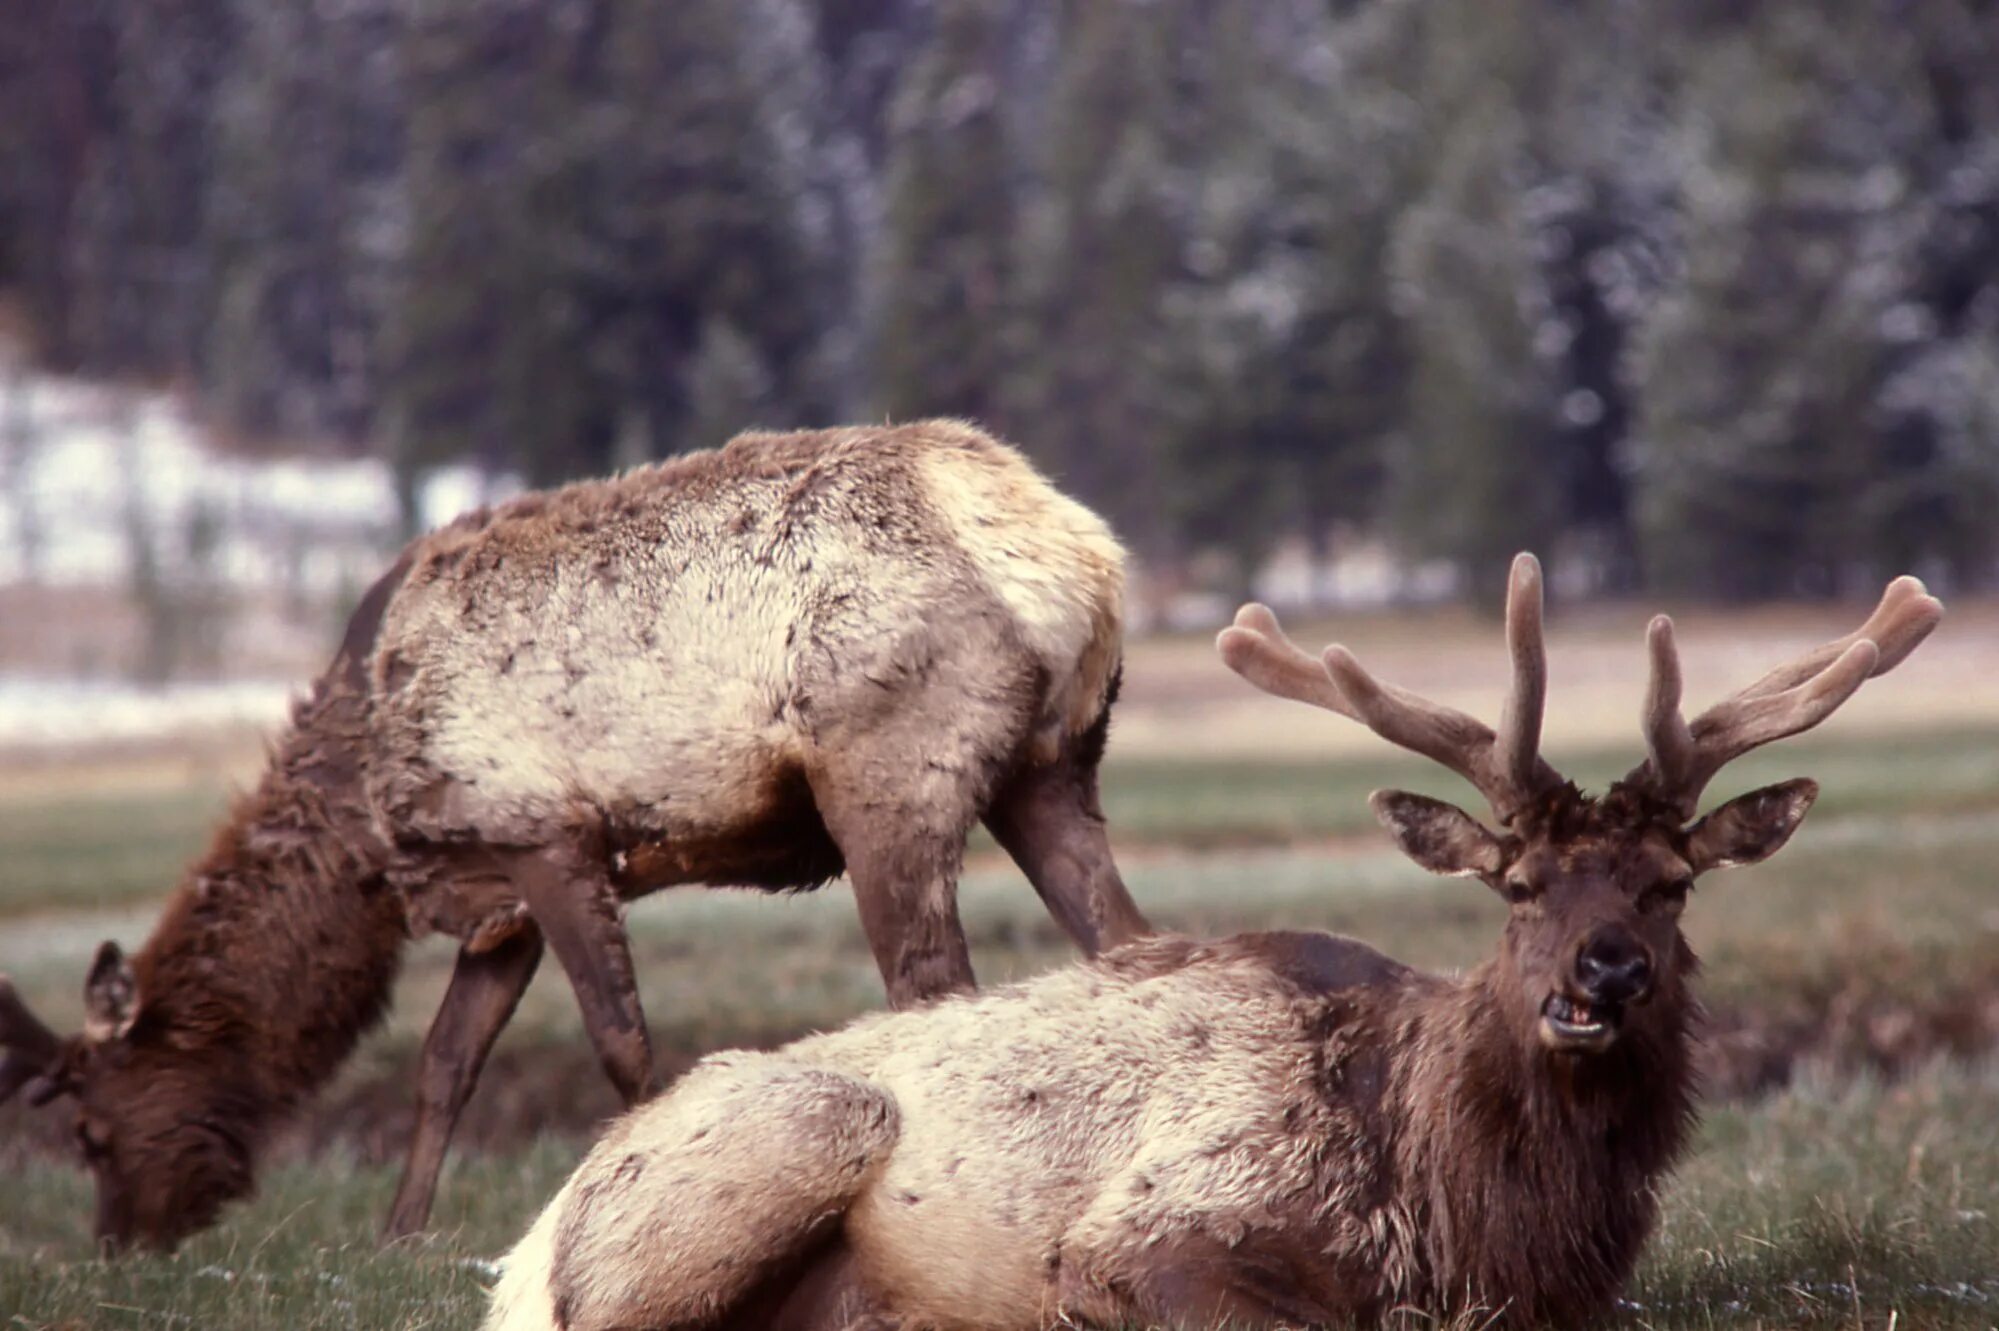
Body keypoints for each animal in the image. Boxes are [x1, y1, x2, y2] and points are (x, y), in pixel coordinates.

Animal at [0, 421, 1159, 1255]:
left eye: (90, 1129)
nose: (119, 1247)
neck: (370, 827)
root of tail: (1079, 559)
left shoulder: (543, 833)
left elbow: (623, 1045)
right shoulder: (496, 890)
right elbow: (445, 1062)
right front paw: (400, 1236)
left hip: (888, 771)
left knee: (934, 987)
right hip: (1052, 769)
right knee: (1126, 942)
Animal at [479, 551, 1935, 1327]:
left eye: (1668, 886)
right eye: (1517, 884)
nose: (1604, 969)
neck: (1467, 1201)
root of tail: (534, 1225)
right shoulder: (1151, 1228)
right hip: (780, 1144)